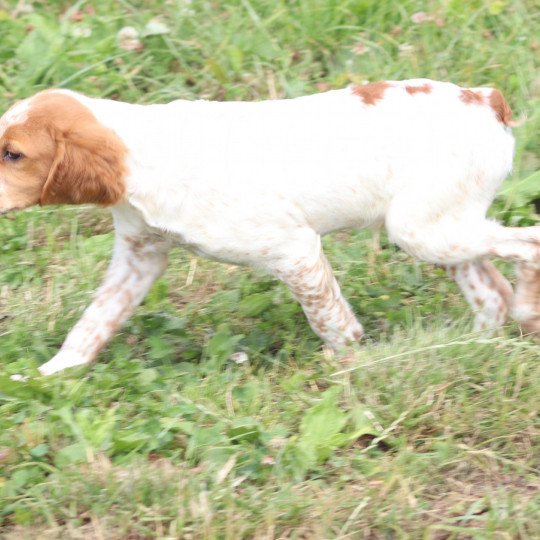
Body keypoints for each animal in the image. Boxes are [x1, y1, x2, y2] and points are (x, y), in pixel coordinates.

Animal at [0, 80, 536, 376]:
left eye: (14, 154)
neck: (142, 151)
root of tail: (485, 100)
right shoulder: (138, 257)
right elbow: (90, 325)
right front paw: (49, 375)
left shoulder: (295, 251)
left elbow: (332, 322)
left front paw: (351, 366)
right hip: (442, 226)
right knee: (491, 291)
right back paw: (467, 344)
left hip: (420, 229)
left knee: (527, 245)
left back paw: (526, 312)